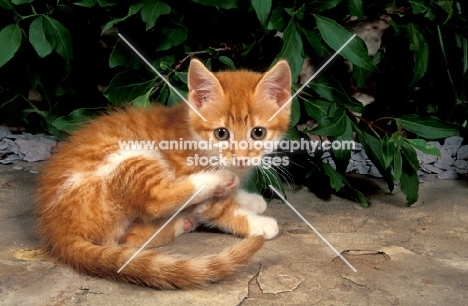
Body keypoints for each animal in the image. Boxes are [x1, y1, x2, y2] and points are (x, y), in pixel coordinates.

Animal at [36, 58, 290, 290]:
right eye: (221, 133)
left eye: (258, 133)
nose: (241, 158)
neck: (194, 136)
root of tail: (58, 228)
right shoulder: (187, 168)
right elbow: (218, 208)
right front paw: (256, 223)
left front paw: (249, 199)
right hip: (129, 154)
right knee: (153, 203)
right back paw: (214, 184)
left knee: (128, 240)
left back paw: (181, 223)